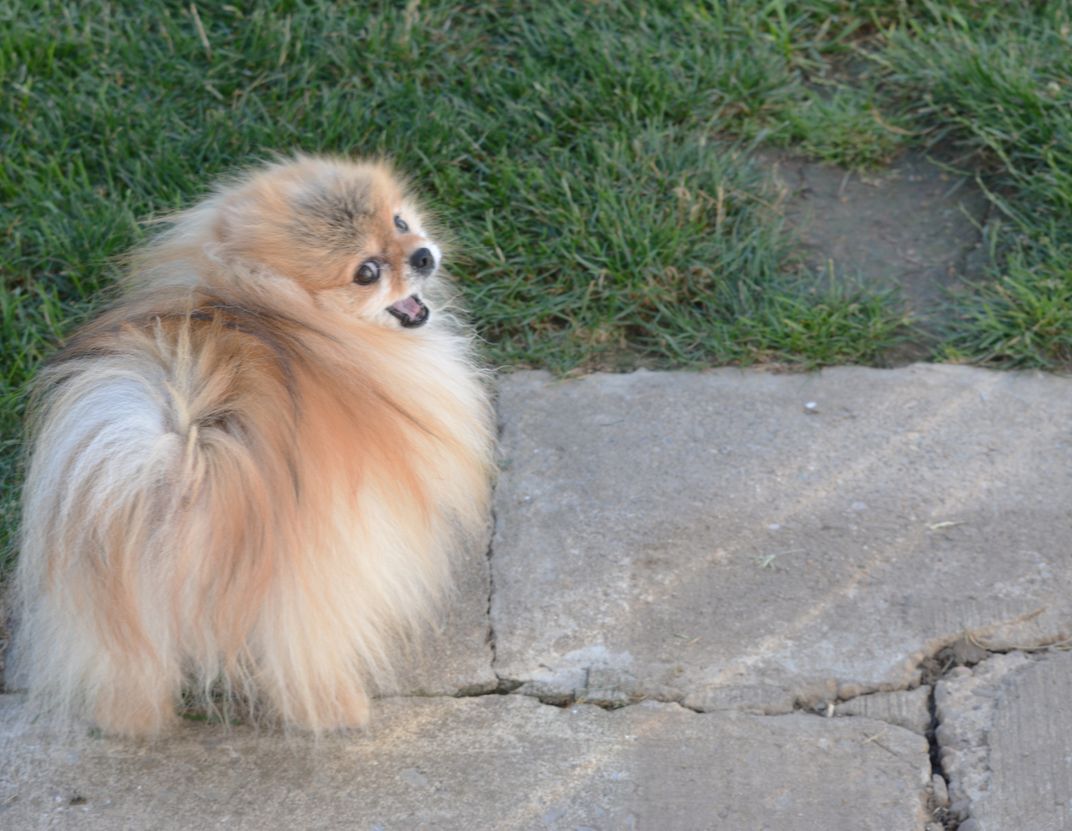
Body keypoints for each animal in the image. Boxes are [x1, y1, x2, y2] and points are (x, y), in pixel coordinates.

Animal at [10, 155, 495, 736]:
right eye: (367, 272)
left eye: (399, 221)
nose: (423, 255)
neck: (270, 298)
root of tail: (184, 469)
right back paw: (341, 711)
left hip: (110, 597)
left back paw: (129, 721)